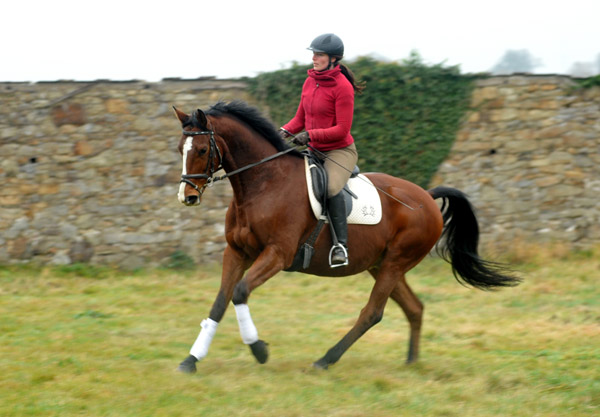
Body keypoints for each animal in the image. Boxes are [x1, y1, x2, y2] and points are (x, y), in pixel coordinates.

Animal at [173, 101, 520, 374]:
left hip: (395, 262)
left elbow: (240, 292)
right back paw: (411, 362)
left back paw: (325, 360)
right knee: (414, 308)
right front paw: (191, 360)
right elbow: (220, 302)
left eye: (202, 150)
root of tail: (426, 197)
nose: (187, 197)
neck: (263, 184)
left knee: (373, 312)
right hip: (382, 265)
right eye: (180, 150)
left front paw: (258, 349)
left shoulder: (277, 254)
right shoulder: (236, 252)